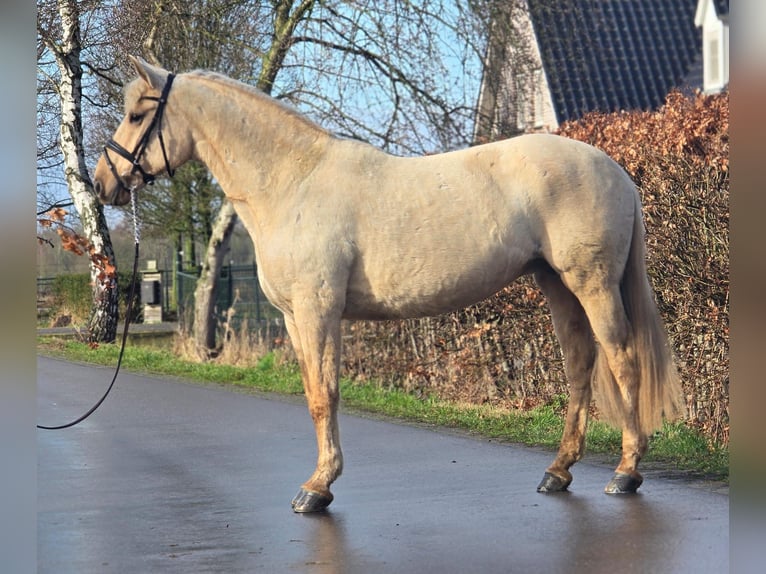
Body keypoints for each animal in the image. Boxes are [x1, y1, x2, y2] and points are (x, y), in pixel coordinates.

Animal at [94, 56, 684, 513]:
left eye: (138, 114)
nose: (102, 183)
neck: (292, 182)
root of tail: (615, 170)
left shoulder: (318, 311)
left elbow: (324, 395)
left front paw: (317, 488)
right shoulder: (294, 317)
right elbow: (314, 392)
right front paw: (320, 480)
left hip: (593, 284)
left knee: (623, 360)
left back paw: (626, 472)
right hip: (557, 285)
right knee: (580, 364)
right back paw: (558, 471)